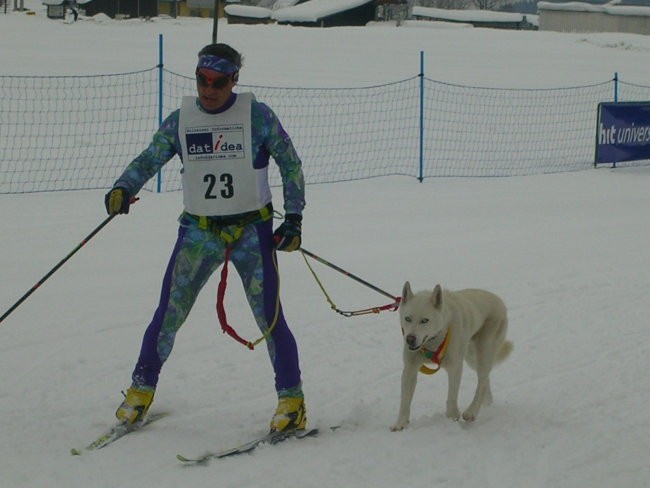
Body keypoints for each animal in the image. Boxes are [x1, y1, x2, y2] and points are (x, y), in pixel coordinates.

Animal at [390, 282, 512, 430]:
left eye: (424, 320)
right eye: (408, 318)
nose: (410, 339)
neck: (433, 343)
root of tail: (499, 301)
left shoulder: (455, 368)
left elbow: (452, 396)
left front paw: (452, 417)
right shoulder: (410, 369)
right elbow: (404, 402)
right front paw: (400, 423)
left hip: (484, 351)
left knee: (481, 382)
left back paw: (471, 412)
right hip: (471, 357)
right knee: (485, 378)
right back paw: (487, 401)